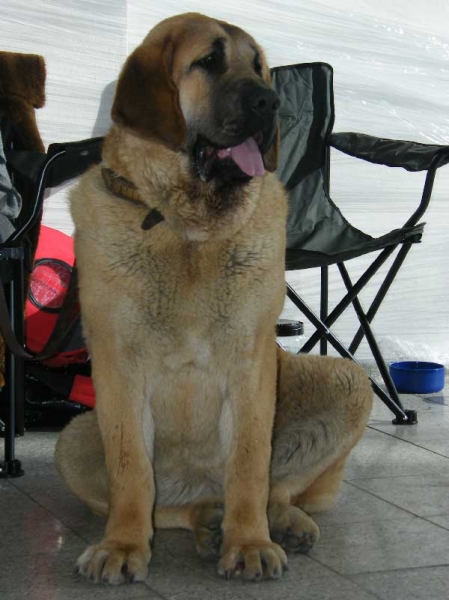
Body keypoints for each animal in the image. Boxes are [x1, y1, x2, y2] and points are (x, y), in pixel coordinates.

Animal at [56, 11, 372, 584]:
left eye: (259, 67)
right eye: (208, 61)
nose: (271, 102)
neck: (187, 228)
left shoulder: (250, 363)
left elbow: (248, 463)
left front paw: (249, 542)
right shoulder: (117, 365)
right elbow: (131, 470)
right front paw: (123, 545)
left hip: (348, 380)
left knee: (278, 487)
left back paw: (277, 521)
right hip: (71, 442)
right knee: (166, 504)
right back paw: (204, 517)